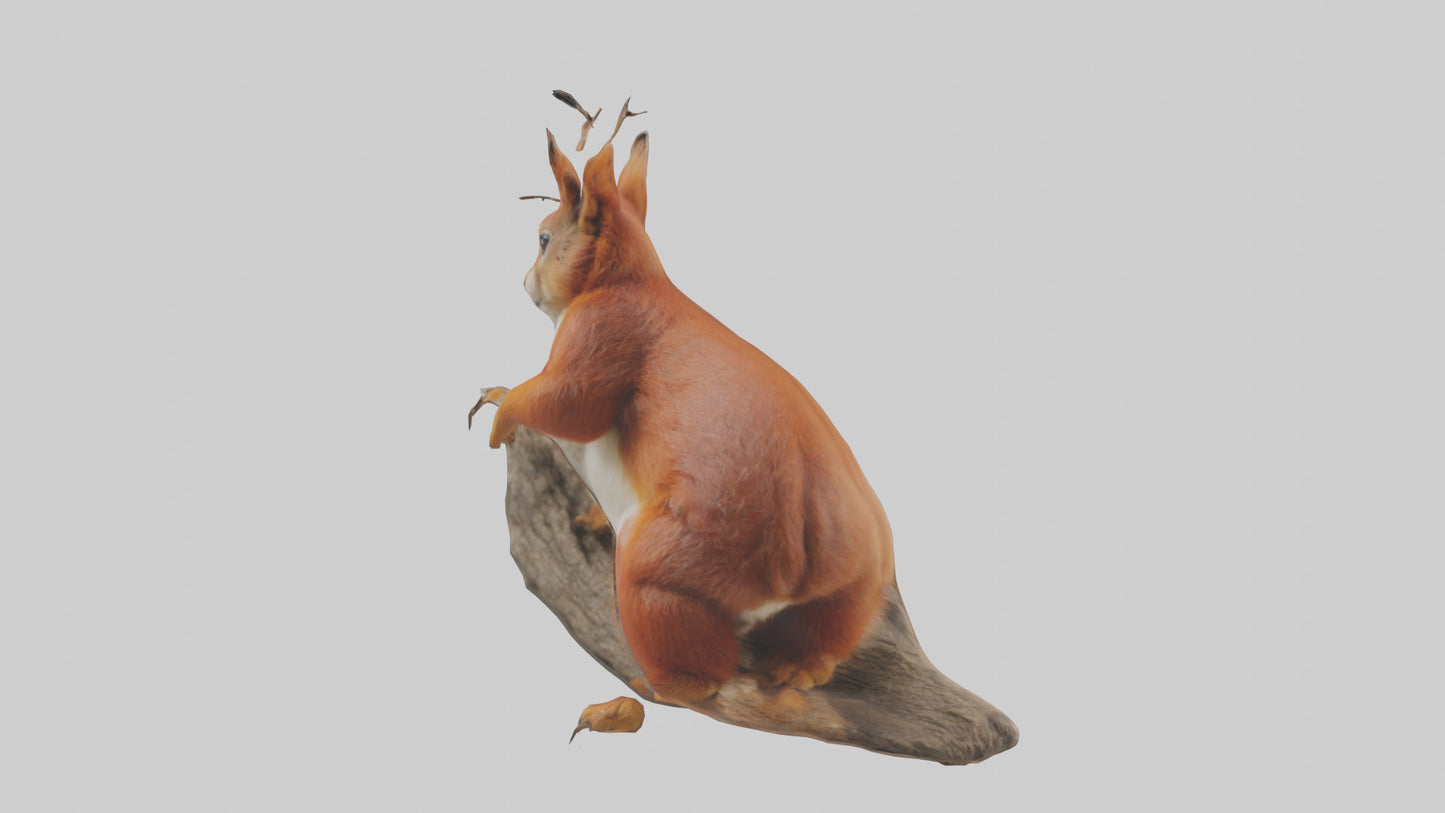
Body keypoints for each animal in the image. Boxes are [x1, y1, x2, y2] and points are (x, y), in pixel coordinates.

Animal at [473, 129, 895, 705]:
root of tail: (793, 568)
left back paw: (664, 683)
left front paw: (501, 406)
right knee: (831, 627)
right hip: (860, 578)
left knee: (690, 650)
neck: (629, 279)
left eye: (542, 240)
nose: (524, 283)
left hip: (664, 568)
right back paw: (799, 669)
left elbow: (568, 405)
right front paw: (590, 515)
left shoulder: (600, 330)